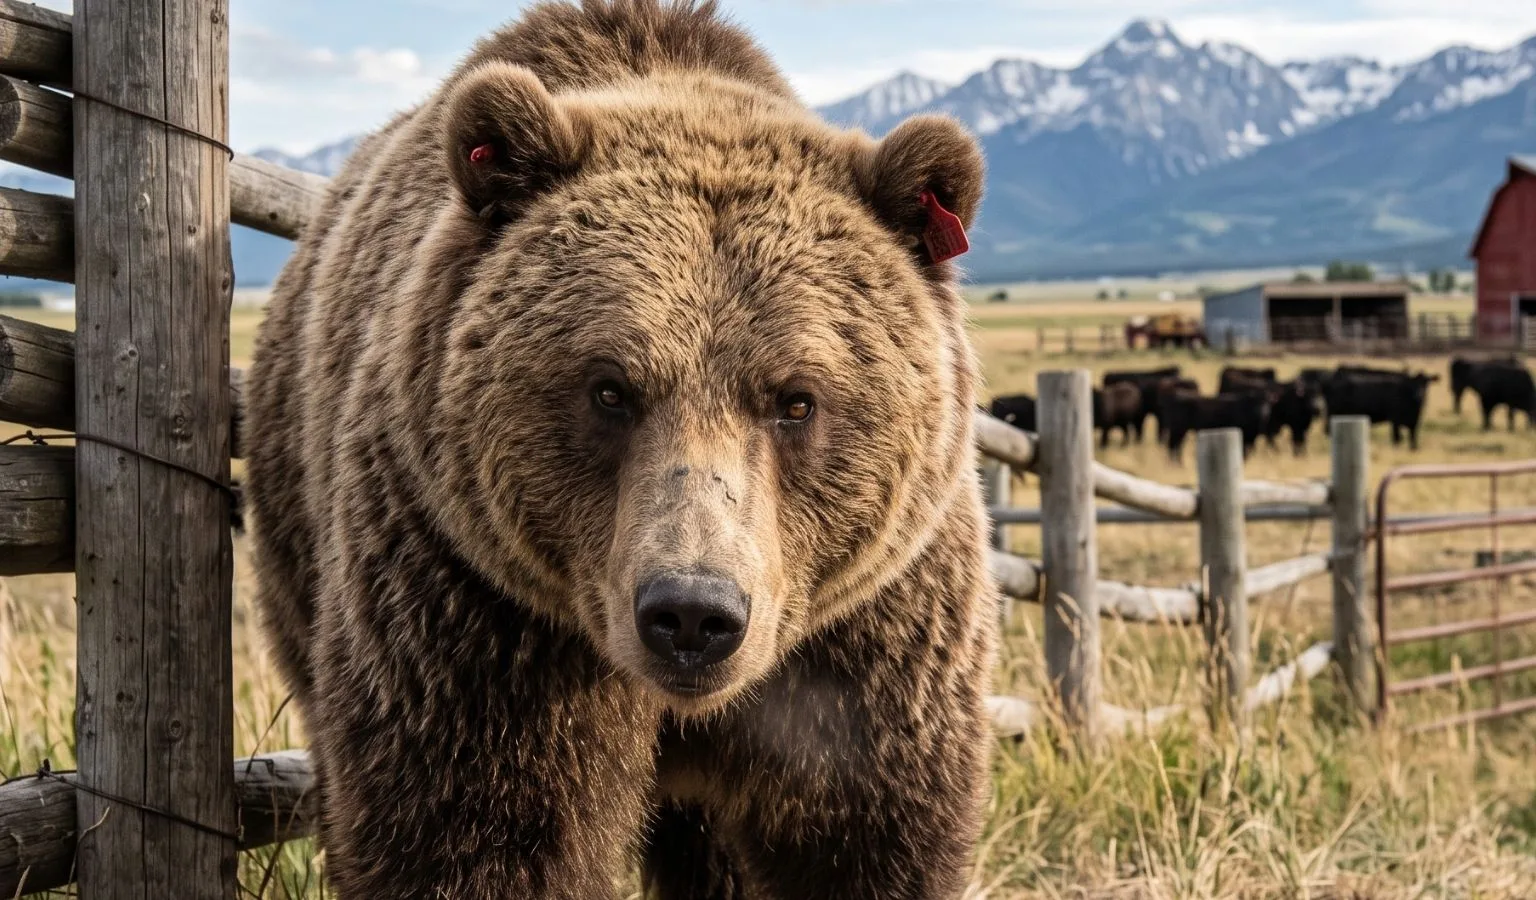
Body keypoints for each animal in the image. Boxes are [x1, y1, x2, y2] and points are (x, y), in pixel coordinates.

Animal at [244, 1, 996, 897]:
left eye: (795, 399)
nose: (693, 614)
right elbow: (475, 835)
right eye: (610, 388)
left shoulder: (869, 642)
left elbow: (871, 835)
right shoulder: (477, 621)